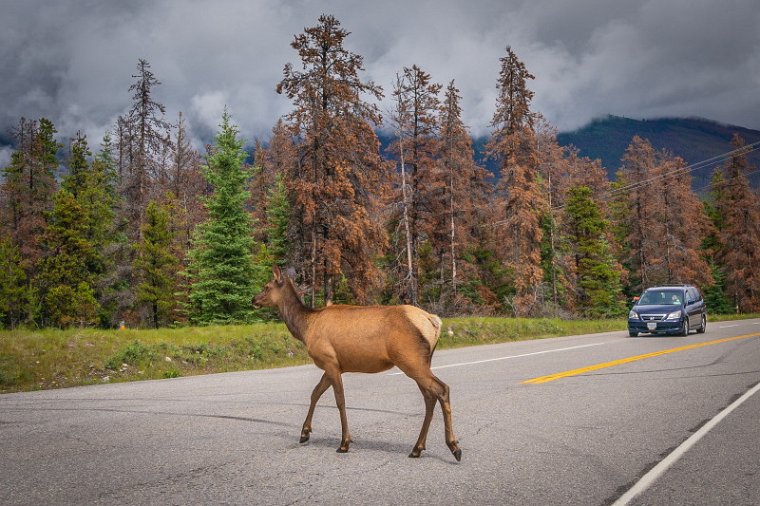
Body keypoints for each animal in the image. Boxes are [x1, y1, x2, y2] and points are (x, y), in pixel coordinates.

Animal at [252, 264, 460, 462]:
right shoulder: (335, 365)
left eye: (266, 286)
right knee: (429, 396)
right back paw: (417, 448)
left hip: (410, 359)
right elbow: (315, 393)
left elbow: (340, 401)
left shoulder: (329, 361)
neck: (305, 328)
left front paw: (344, 443)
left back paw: (454, 447)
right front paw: (304, 433)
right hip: (422, 361)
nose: (253, 299)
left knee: (441, 389)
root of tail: (434, 321)